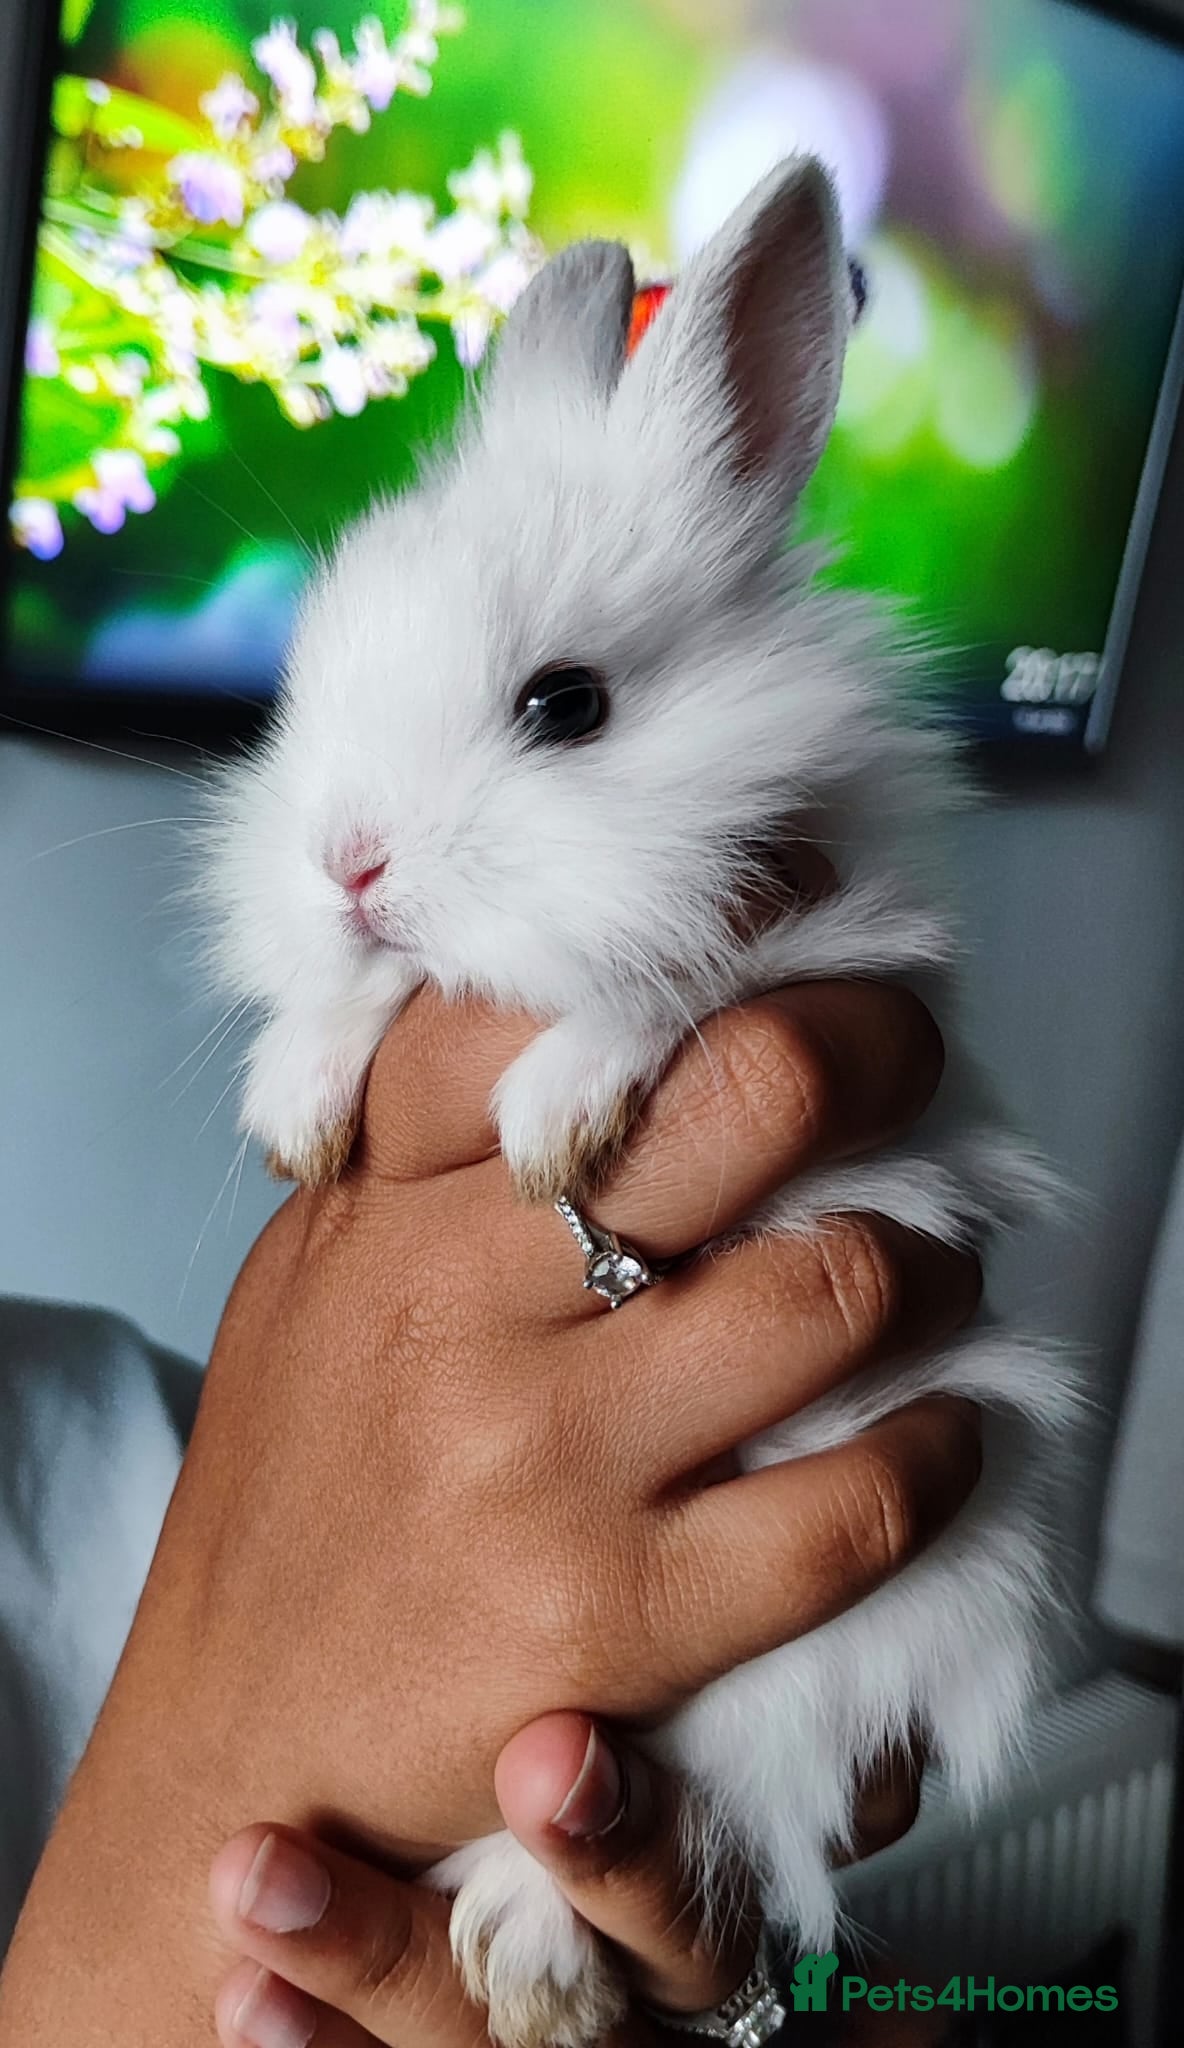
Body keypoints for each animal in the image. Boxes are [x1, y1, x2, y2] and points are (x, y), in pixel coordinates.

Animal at [201, 156, 1079, 2048]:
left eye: (566, 705)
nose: (346, 858)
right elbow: (371, 997)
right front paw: (299, 1099)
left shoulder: (822, 932)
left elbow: (649, 985)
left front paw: (549, 1114)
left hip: (806, 1664)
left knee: (667, 1797)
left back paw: (528, 1949)